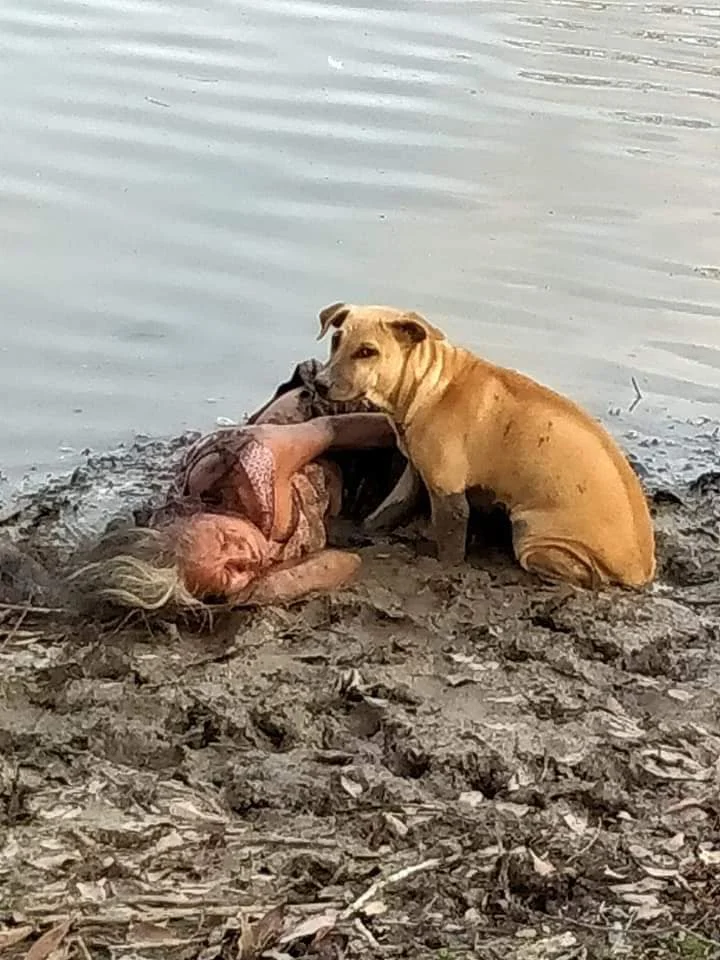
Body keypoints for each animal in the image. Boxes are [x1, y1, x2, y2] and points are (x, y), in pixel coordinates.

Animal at [312, 300, 656, 588]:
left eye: (367, 351)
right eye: (335, 341)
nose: (319, 384)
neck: (430, 386)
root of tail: (641, 570)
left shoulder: (449, 494)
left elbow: (450, 547)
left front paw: (443, 567)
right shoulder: (415, 473)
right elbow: (386, 511)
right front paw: (363, 530)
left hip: (534, 537)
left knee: (584, 575)